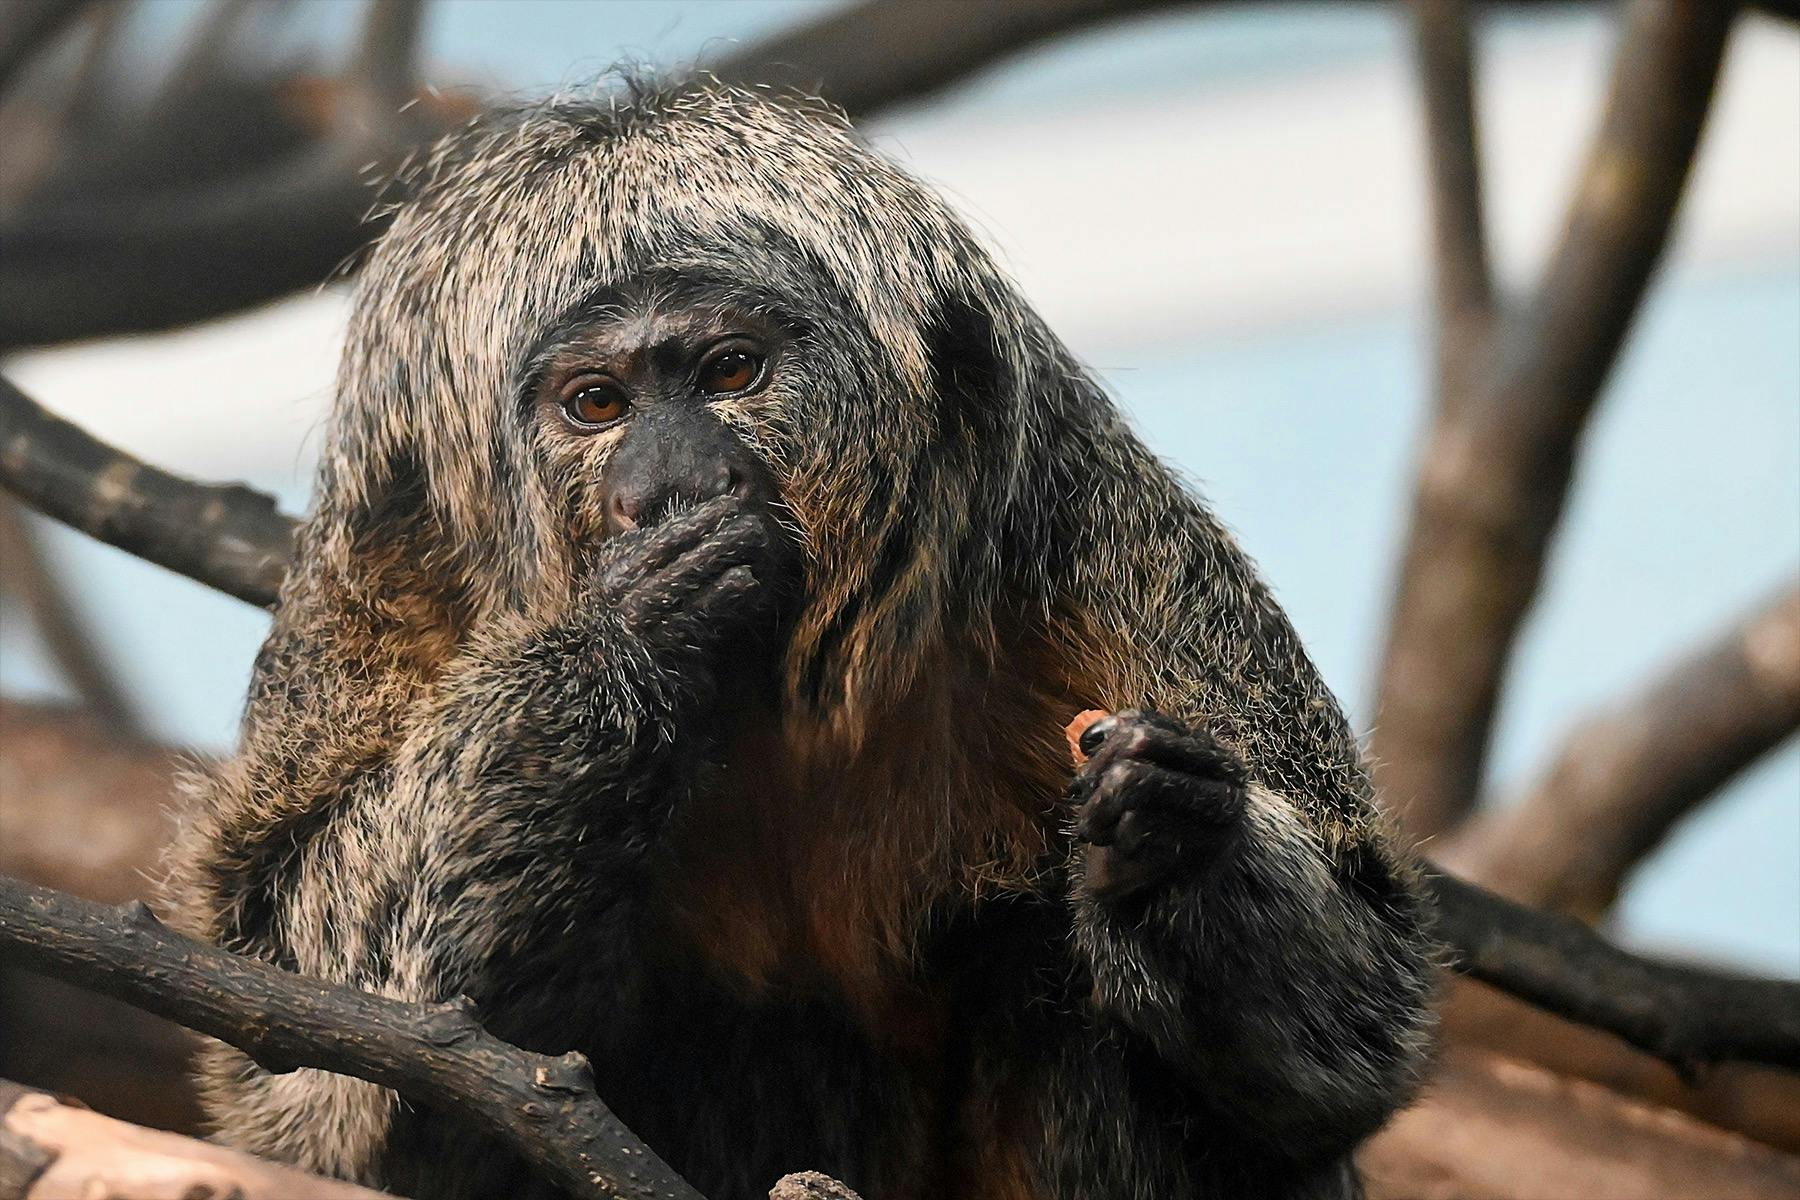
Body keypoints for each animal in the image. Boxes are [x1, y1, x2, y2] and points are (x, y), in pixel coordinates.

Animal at [166, 78, 1436, 1200]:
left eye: (729, 371)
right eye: (597, 403)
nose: (672, 482)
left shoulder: (1089, 535)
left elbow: (1359, 1023)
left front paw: (1174, 839)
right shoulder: (383, 564)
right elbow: (306, 1050)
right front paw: (636, 629)